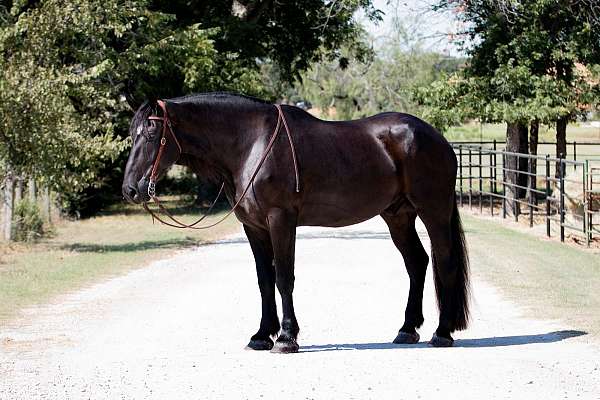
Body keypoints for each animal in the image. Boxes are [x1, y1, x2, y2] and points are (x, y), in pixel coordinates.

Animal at [122, 92, 468, 352]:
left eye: (151, 134)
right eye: (131, 134)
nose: (130, 190)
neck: (252, 144)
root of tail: (438, 139)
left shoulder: (281, 220)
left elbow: (283, 278)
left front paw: (287, 338)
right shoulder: (254, 227)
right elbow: (264, 280)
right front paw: (261, 335)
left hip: (433, 211)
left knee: (445, 261)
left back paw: (442, 333)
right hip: (398, 216)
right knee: (417, 262)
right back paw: (407, 329)